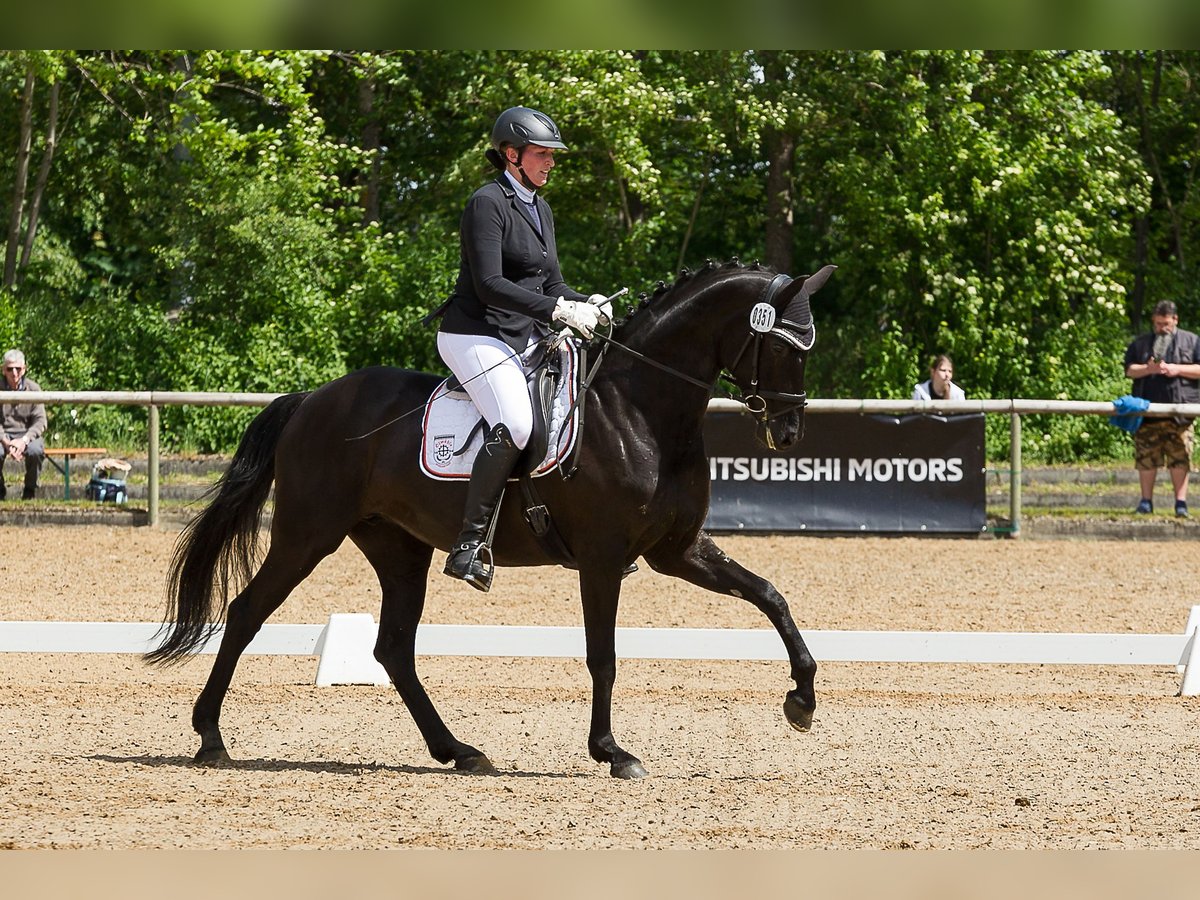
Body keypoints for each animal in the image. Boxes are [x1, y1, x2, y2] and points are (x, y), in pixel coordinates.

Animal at [147, 256, 835, 777]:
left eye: (809, 347)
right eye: (781, 346)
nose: (788, 432)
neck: (639, 410)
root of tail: (313, 399)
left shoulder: (678, 550)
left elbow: (770, 595)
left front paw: (801, 700)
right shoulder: (604, 558)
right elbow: (603, 655)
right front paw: (613, 753)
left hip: (398, 548)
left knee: (393, 647)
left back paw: (458, 751)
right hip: (307, 534)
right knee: (246, 614)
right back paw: (210, 738)